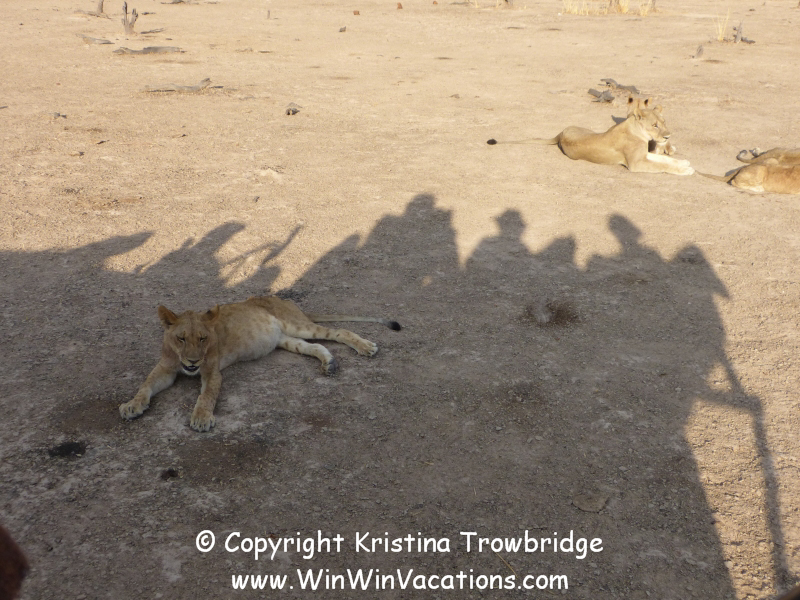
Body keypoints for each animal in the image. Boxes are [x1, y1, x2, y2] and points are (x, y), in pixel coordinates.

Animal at [119, 296, 401, 432]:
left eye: (202, 338)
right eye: (181, 338)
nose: (192, 361)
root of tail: (283, 299)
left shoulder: (212, 372)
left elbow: (206, 396)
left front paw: (201, 418)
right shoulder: (165, 368)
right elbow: (145, 385)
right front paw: (132, 405)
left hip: (296, 325)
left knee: (339, 332)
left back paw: (366, 347)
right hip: (285, 339)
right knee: (314, 346)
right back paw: (329, 363)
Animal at [486, 97, 694, 176]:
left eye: (664, 122)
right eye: (655, 125)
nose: (668, 136)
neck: (638, 131)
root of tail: (561, 133)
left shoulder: (643, 155)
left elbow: (664, 160)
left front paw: (683, 163)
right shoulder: (636, 163)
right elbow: (662, 165)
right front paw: (684, 170)